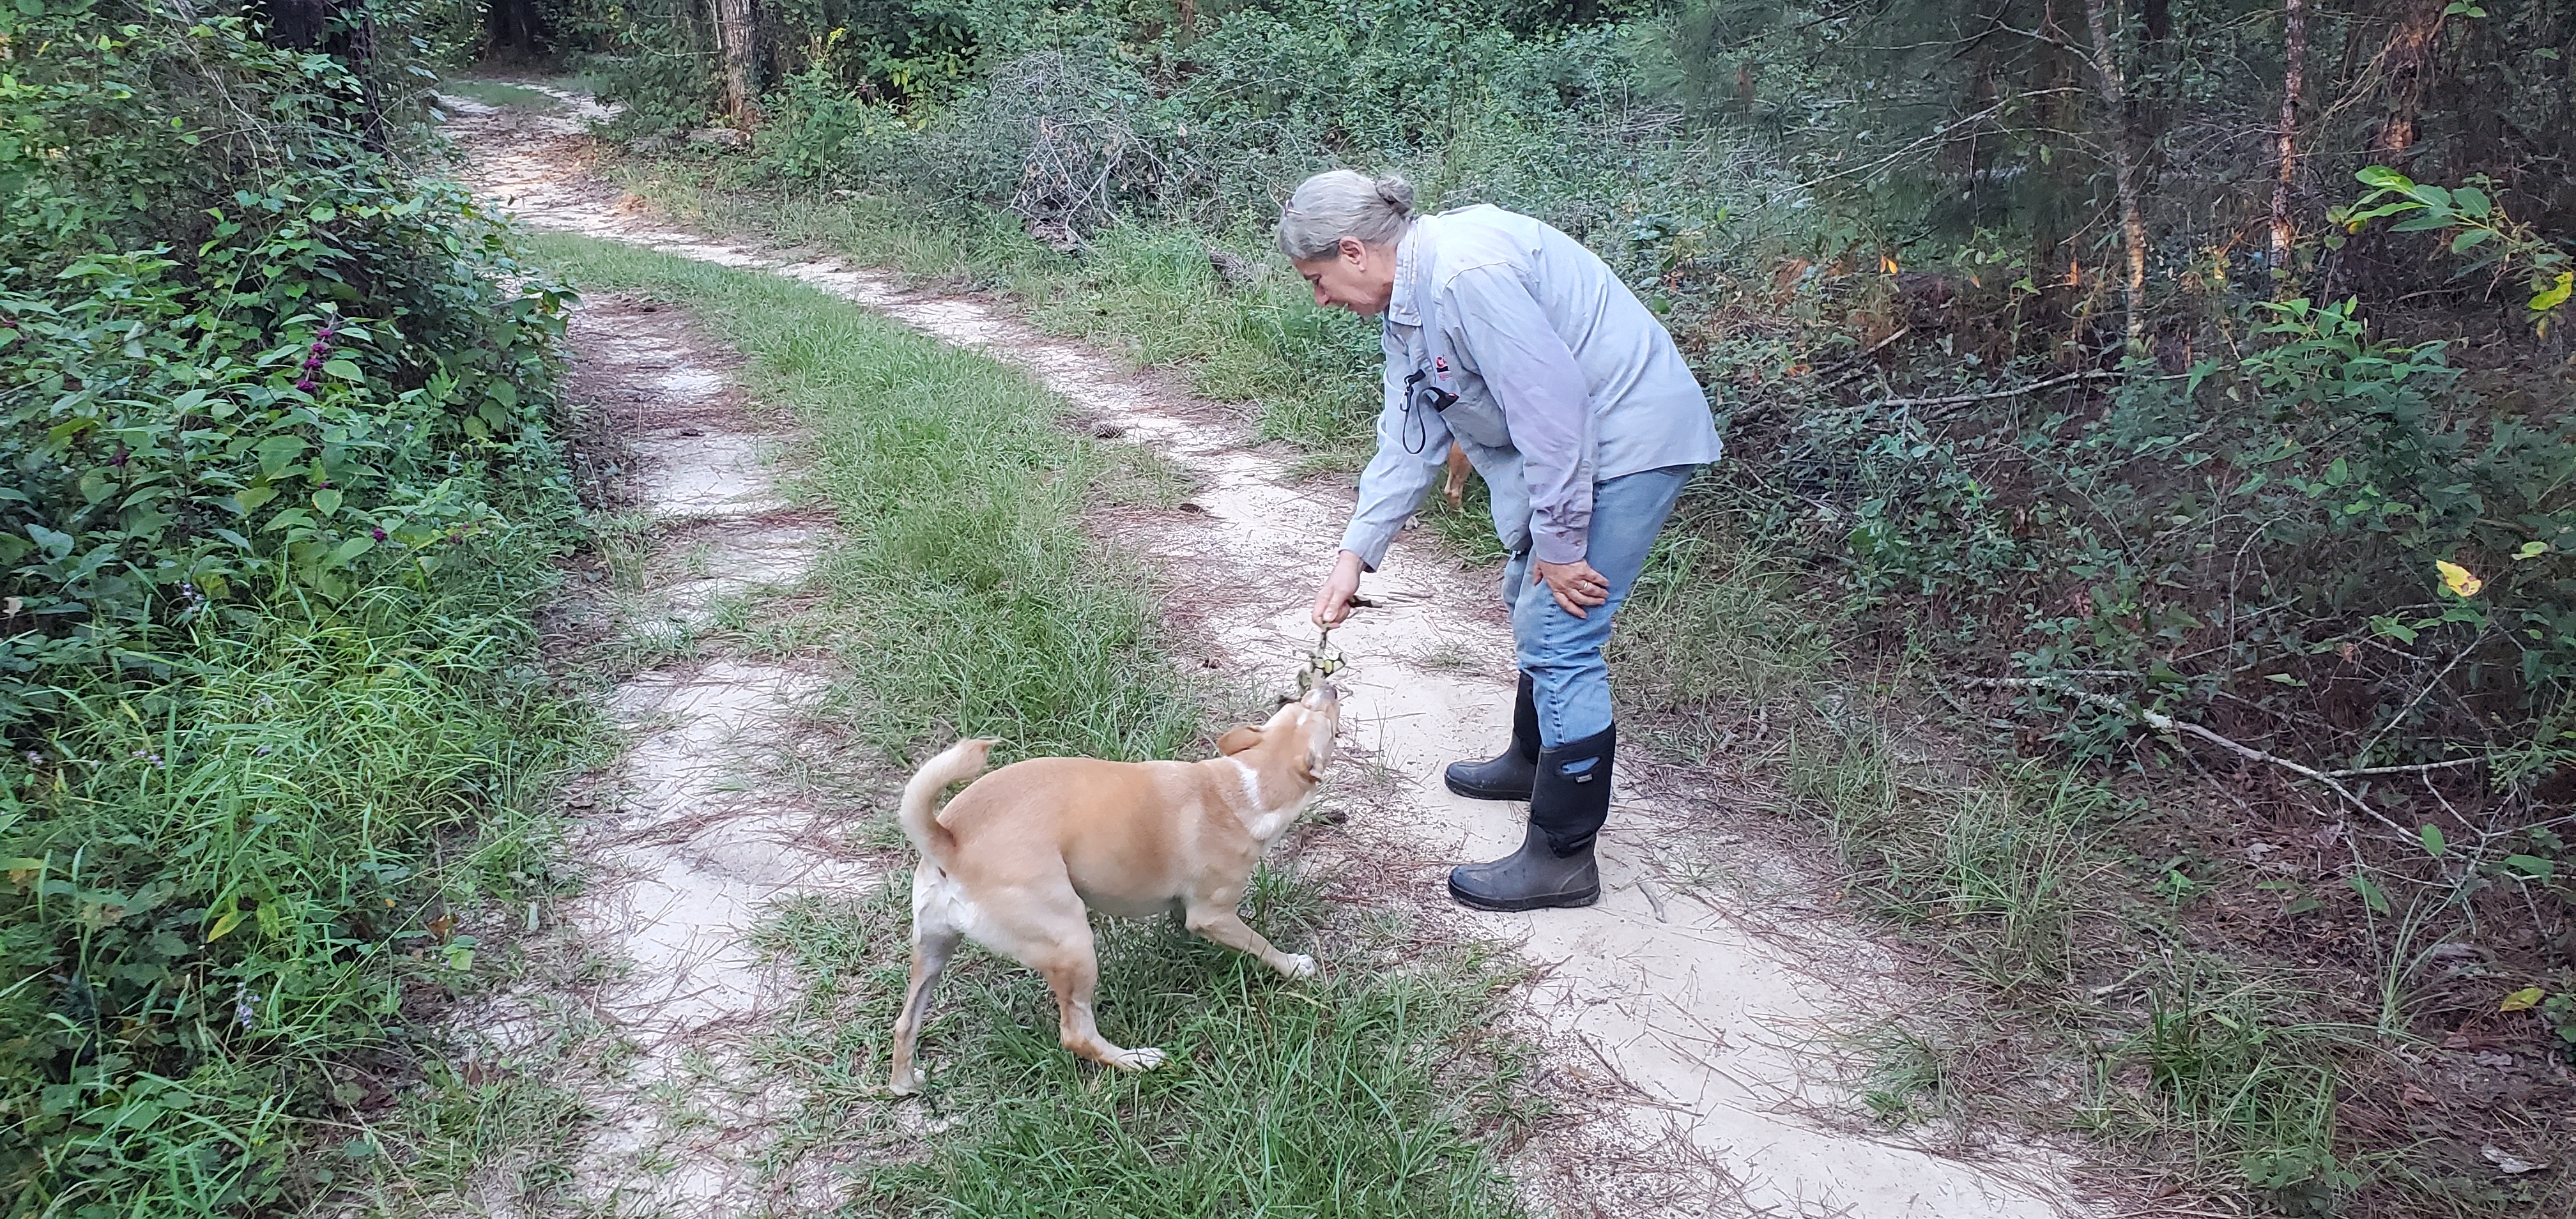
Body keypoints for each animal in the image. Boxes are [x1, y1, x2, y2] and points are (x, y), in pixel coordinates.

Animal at [886, 680, 1339, 1087]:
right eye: (1330, 727)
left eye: (1298, 703)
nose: (1328, 687)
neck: (1243, 786)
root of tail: (948, 841)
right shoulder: (1214, 916)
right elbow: (1261, 945)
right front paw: (1294, 967)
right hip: (1072, 944)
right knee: (1077, 1035)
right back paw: (1139, 1061)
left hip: (933, 951)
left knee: (905, 1023)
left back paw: (906, 1083)